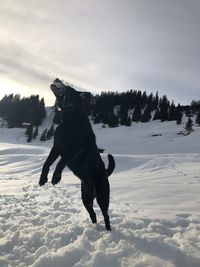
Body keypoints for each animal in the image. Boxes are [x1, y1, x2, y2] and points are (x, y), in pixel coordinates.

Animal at [39, 78, 115, 231]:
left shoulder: (75, 150)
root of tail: (105, 172)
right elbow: (47, 163)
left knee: (106, 215)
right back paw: (93, 227)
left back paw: (108, 230)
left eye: (67, 87)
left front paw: (56, 178)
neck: (70, 116)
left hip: (102, 196)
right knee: (93, 214)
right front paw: (43, 179)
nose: (56, 79)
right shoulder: (56, 147)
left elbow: (61, 162)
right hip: (85, 197)